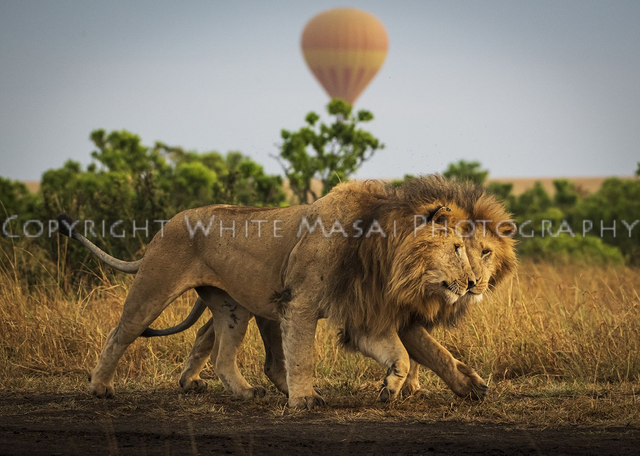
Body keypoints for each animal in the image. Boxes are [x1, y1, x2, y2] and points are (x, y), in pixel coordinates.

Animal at [58, 175, 480, 408]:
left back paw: (245, 392)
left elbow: (408, 355)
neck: (378, 250)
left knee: (223, 356)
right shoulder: (301, 304)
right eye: (457, 248)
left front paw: (395, 388)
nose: (474, 283)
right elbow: (303, 356)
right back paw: (100, 388)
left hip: (233, 308)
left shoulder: (361, 317)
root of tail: (169, 222)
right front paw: (305, 399)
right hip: (153, 288)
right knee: (120, 334)